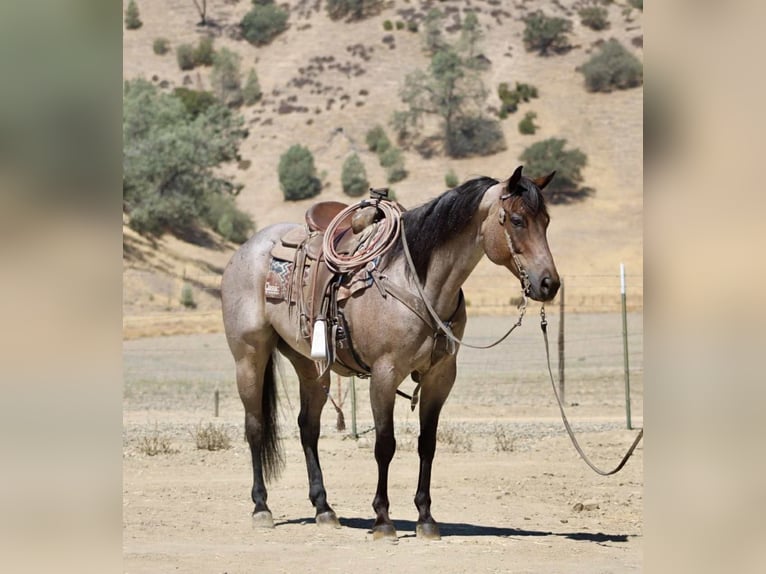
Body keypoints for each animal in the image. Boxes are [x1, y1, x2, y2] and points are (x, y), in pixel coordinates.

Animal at [221, 165, 560, 540]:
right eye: (517, 220)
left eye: (546, 221)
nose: (549, 284)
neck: (418, 282)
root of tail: (247, 249)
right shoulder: (384, 374)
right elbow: (385, 444)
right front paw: (383, 519)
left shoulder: (441, 377)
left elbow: (428, 443)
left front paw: (426, 517)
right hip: (249, 356)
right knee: (255, 426)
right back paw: (261, 507)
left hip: (310, 366)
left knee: (308, 427)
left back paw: (324, 509)